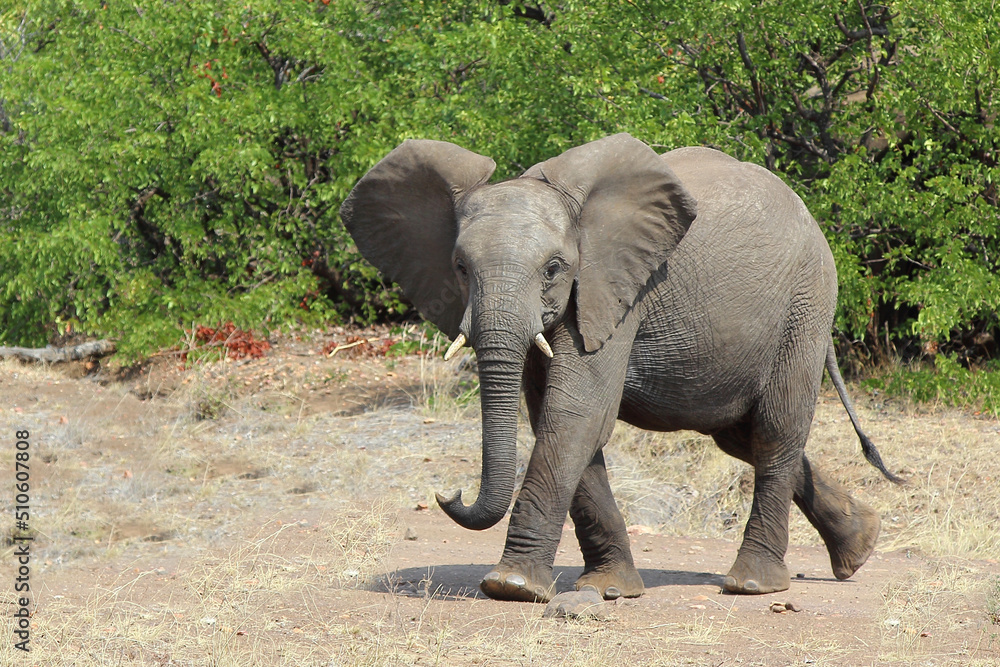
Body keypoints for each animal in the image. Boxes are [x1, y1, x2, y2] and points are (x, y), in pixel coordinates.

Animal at [338, 133, 900, 604]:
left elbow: (576, 414)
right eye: (459, 267)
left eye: (553, 269)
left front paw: (510, 587)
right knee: (740, 436)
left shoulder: (617, 290)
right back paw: (861, 545)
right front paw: (610, 589)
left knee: (776, 429)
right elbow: (559, 419)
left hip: (804, 305)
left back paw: (753, 584)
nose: (448, 493)